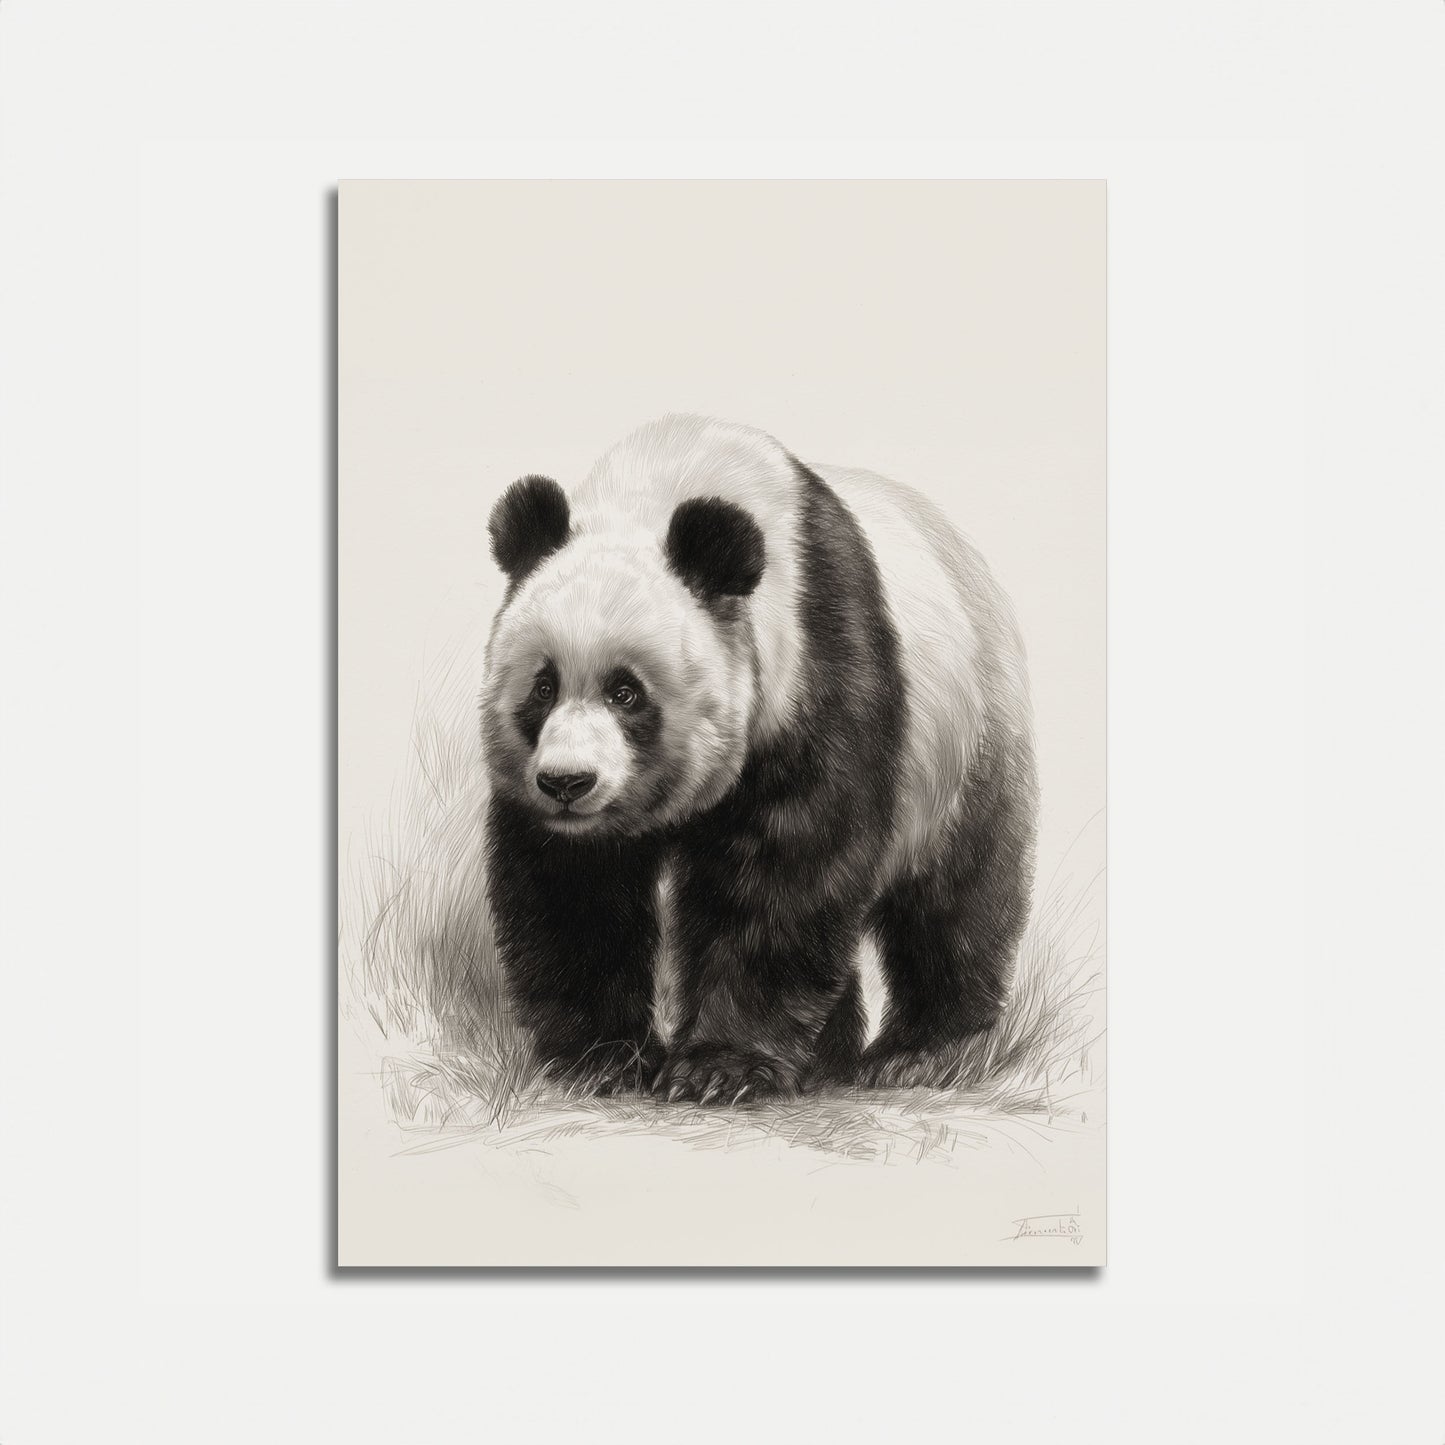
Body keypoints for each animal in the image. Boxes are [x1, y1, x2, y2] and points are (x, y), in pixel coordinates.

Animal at [481, 414, 1037, 1104]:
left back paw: (923, 1053)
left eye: (625, 692)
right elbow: (574, 888)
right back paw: (829, 1054)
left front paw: (720, 1069)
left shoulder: (817, 662)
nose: (567, 782)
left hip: (968, 738)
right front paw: (603, 1060)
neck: (667, 482)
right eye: (543, 687)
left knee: (955, 897)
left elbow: (788, 866)